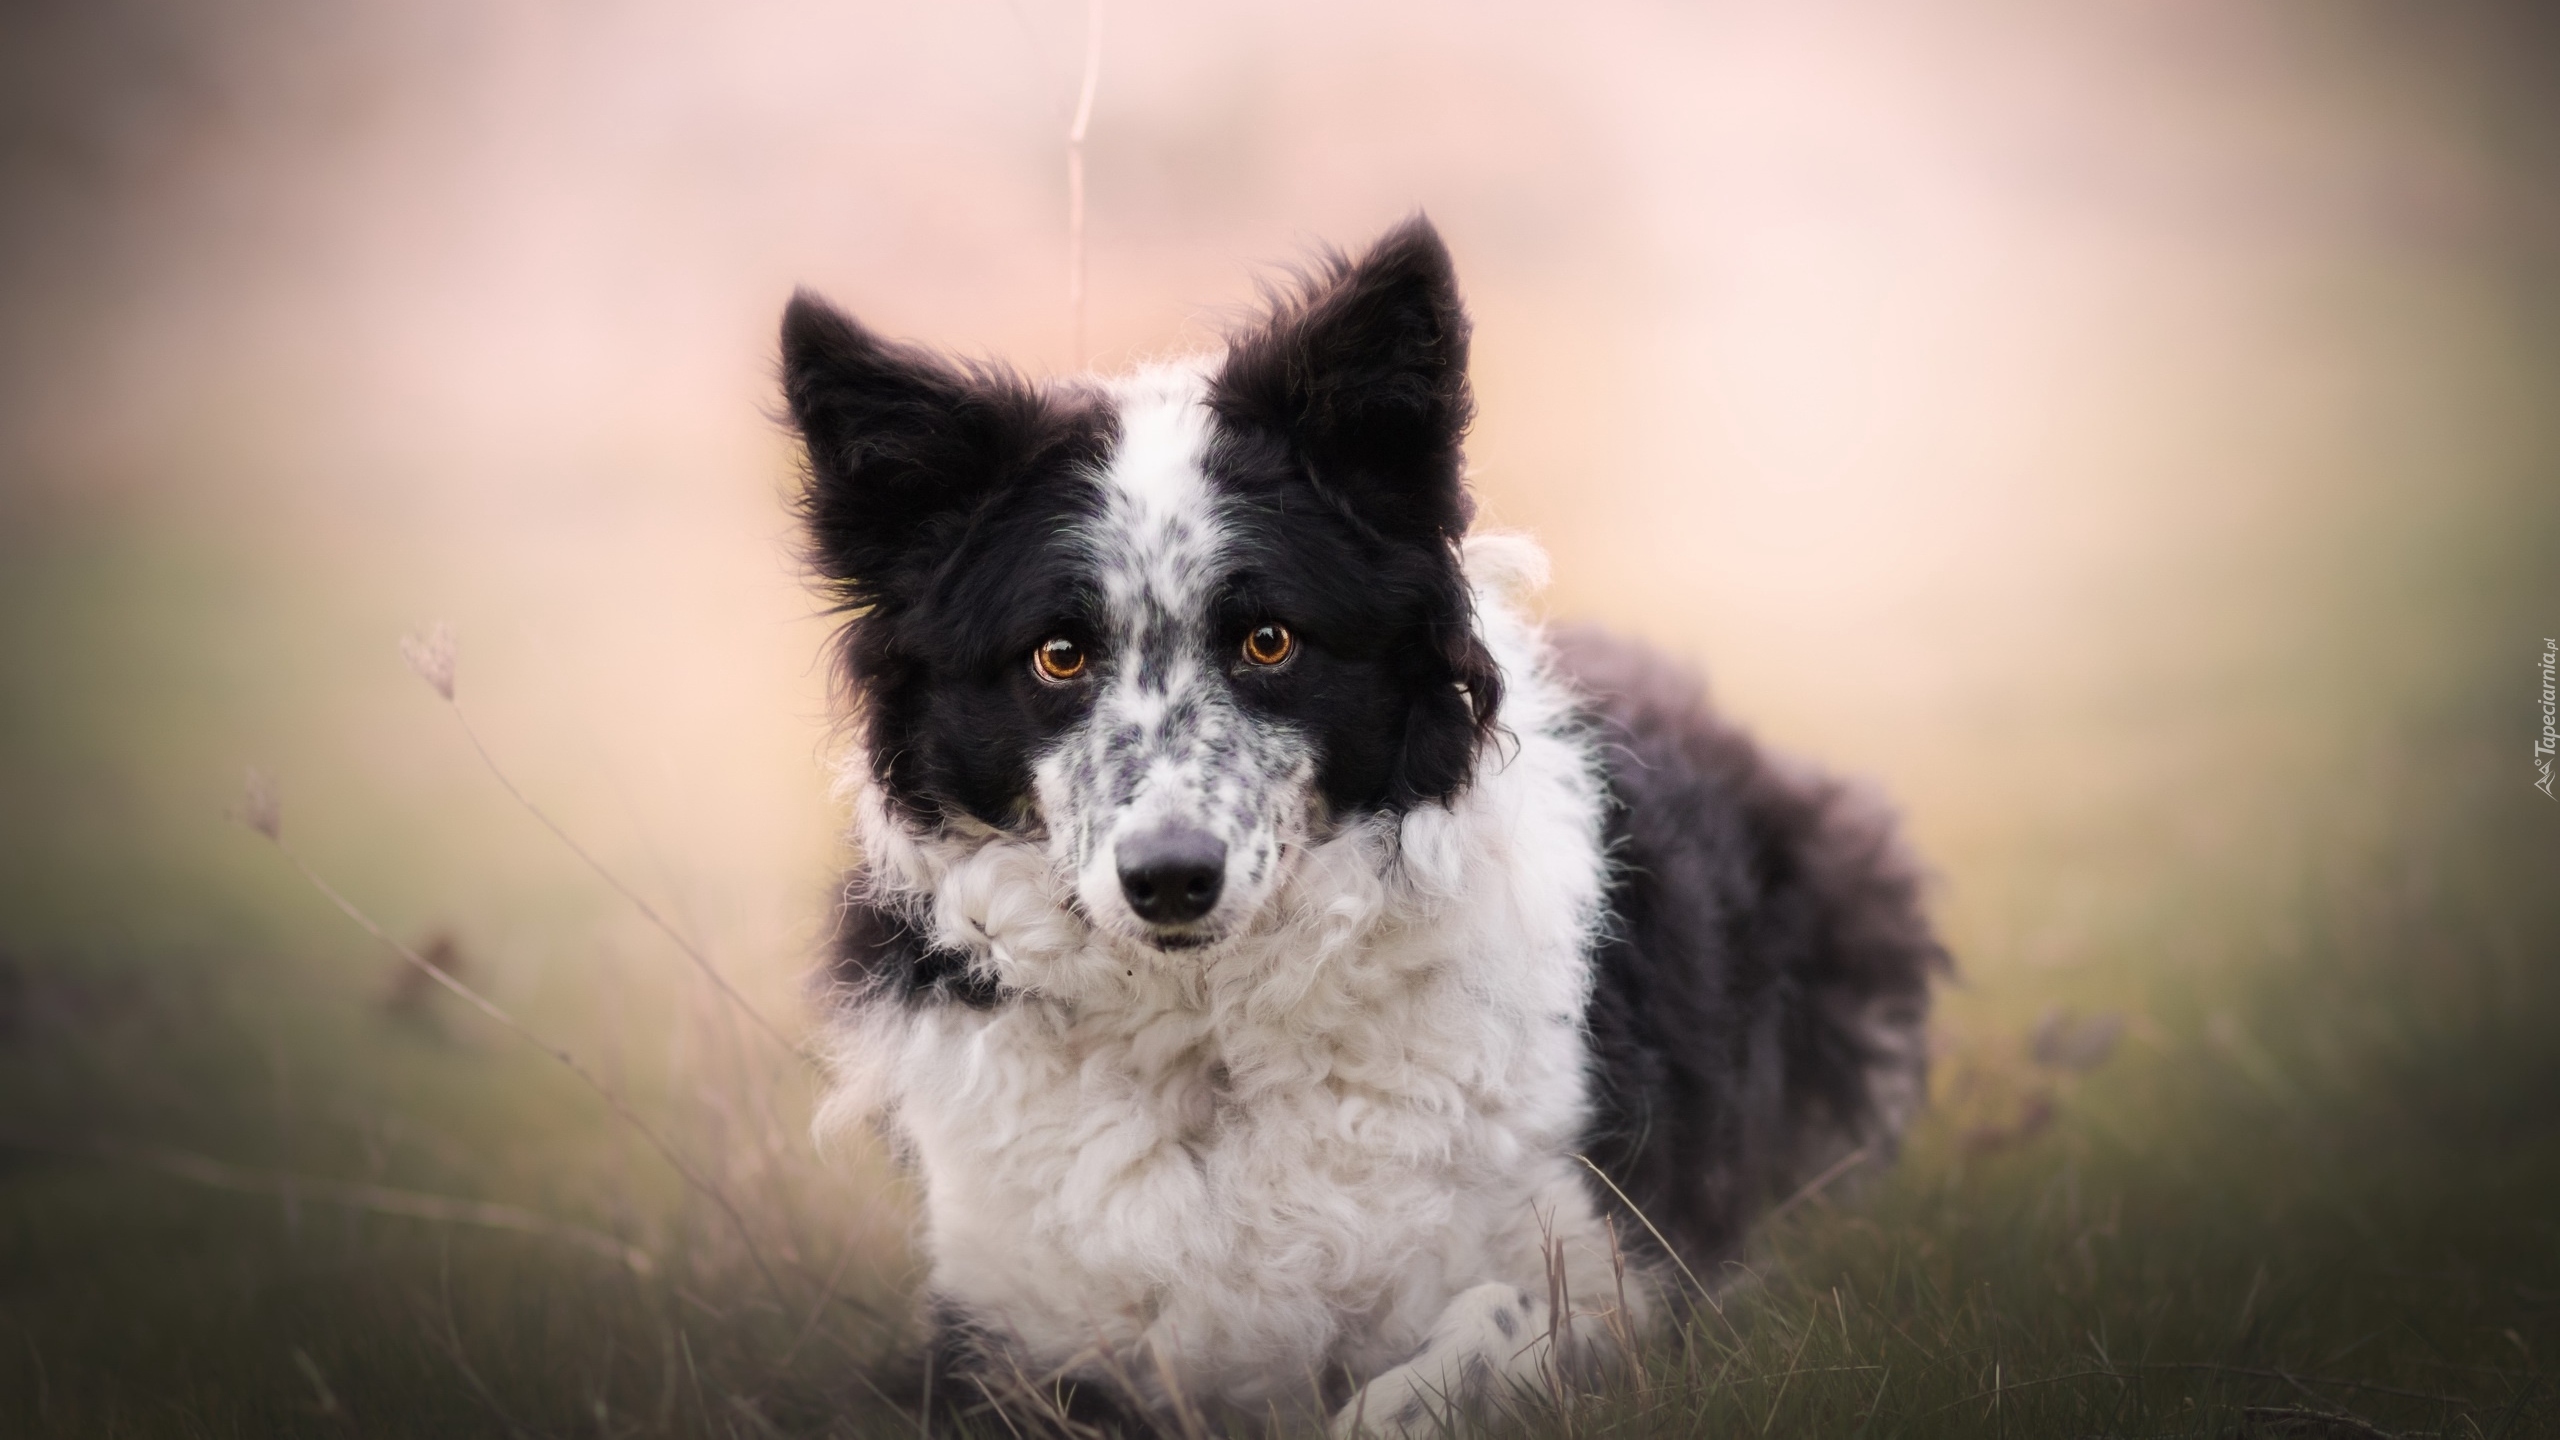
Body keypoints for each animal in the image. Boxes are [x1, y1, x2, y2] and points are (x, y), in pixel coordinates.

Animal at [778, 219, 1935, 1424]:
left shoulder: (1628, 1282)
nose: (1172, 879)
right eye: (1058, 654)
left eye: (1270, 640)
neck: (1211, 1037)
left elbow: (1449, 1359)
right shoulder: (998, 1346)